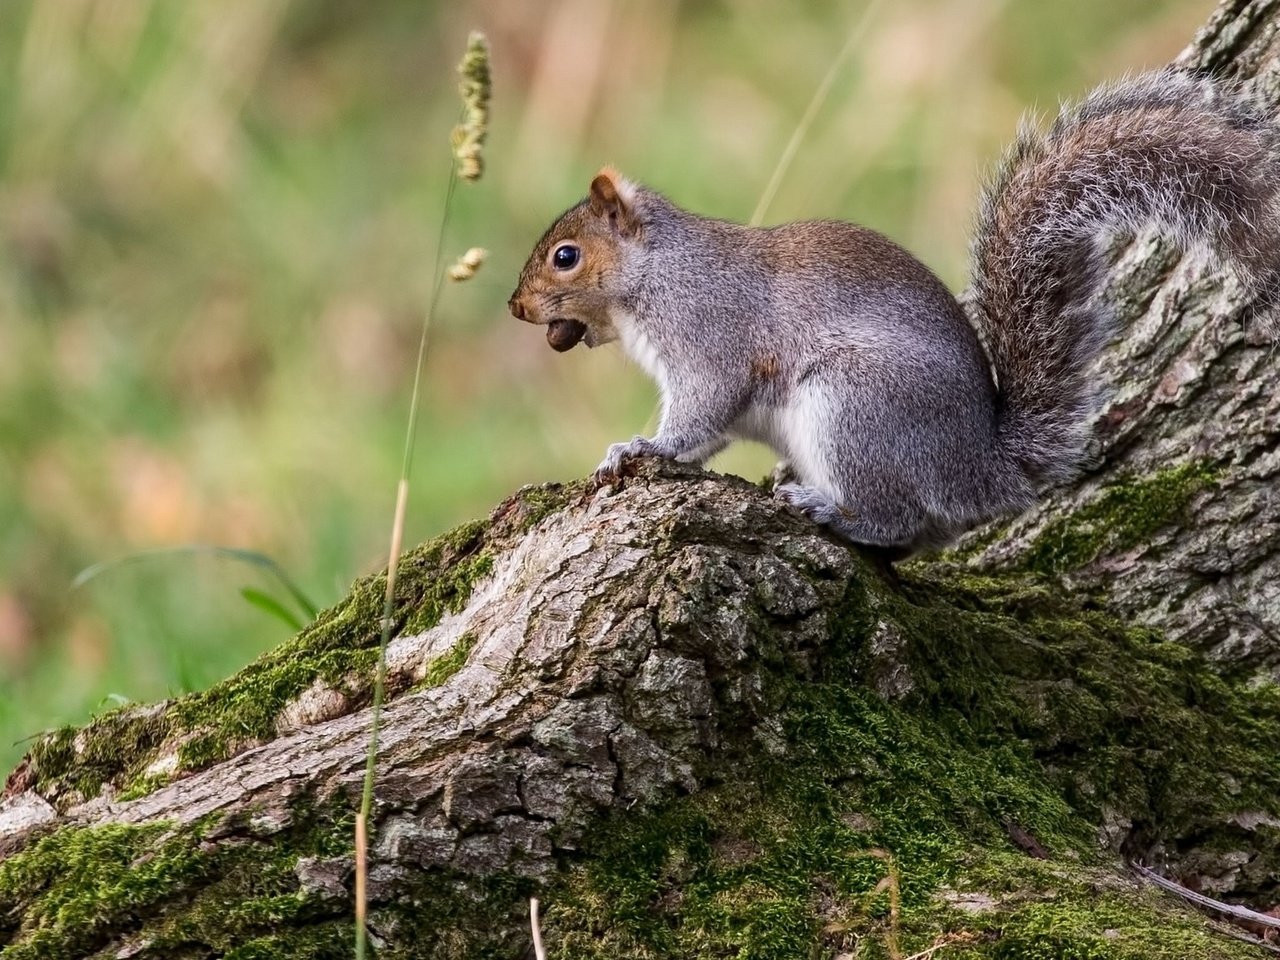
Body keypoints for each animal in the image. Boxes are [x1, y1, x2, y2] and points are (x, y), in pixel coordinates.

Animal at [504, 69, 1280, 555]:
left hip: (856, 407)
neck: (656, 272)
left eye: (566, 256)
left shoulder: (708, 335)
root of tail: (982, 469)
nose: (516, 306)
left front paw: (644, 448)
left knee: (897, 517)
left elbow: (702, 411)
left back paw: (829, 510)